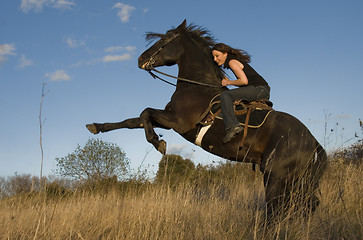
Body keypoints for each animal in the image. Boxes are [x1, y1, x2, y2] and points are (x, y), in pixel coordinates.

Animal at [86, 20, 328, 219]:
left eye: (164, 40)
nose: (141, 59)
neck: (195, 86)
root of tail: (312, 140)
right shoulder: (168, 119)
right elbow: (132, 121)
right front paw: (96, 127)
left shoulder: (178, 122)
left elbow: (145, 113)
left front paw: (158, 143)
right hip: (296, 180)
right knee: (305, 206)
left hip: (276, 177)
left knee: (277, 209)